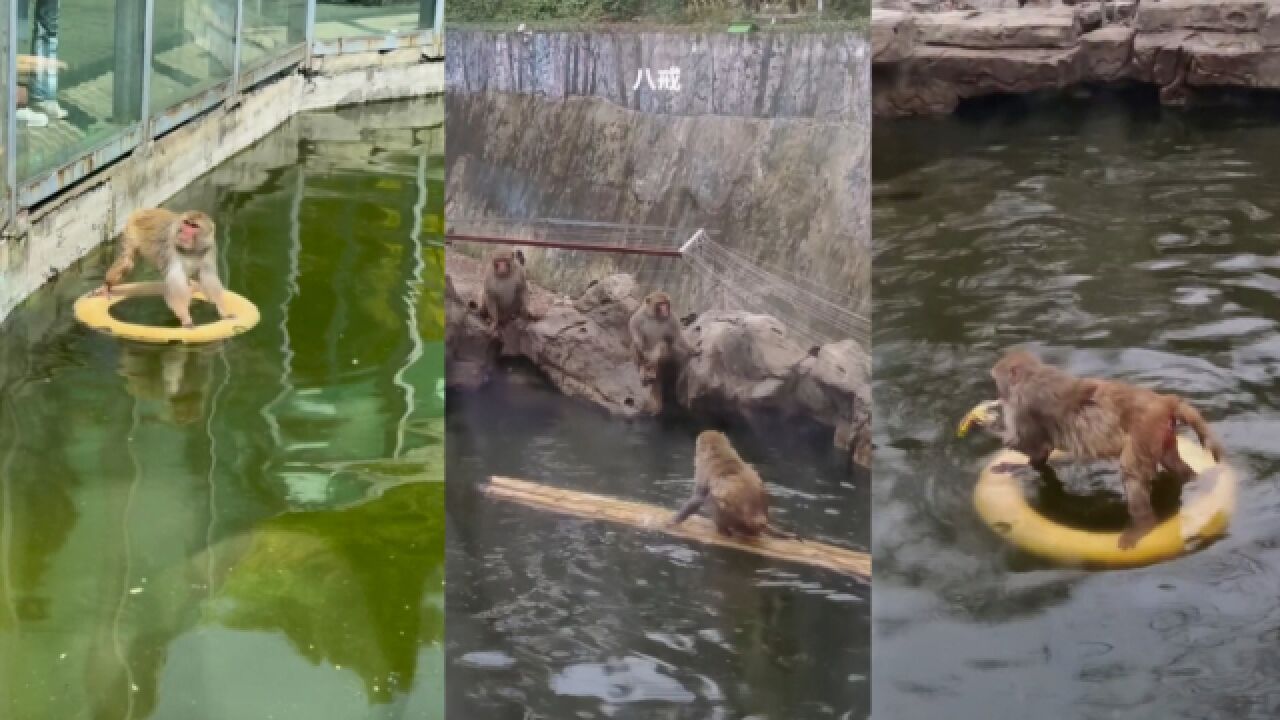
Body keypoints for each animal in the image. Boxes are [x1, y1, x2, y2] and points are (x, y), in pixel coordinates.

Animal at [93, 207, 234, 327]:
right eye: (186, 223)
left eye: (194, 226)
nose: (184, 233)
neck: (191, 250)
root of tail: (146, 210)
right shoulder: (170, 249)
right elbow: (176, 283)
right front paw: (185, 317)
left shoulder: (209, 249)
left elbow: (208, 277)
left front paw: (223, 310)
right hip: (131, 229)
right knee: (127, 261)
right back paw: (106, 286)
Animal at [665, 425, 793, 538]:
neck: (719, 452)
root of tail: (760, 519)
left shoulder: (704, 470)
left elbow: (699, 497)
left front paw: (675, 520)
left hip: (738, 522)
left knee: (713, 497)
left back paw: (722, 529)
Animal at [983, 351, 1223, 545]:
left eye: (996, 381)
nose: (997, 394)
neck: (1032, 376)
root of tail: (1164, 402)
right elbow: (1040, 454)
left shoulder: (1024, 405)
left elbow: (1032, 445)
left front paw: (991, 425)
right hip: (1161, 434)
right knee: (1171, 462)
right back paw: (1196, 481)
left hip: (1144, 432)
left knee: (1132, 471)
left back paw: (1144, 523)